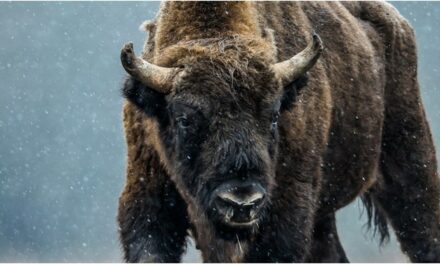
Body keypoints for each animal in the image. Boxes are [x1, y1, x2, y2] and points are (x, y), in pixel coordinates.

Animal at [116, 1, 440, 262]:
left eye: (273, 116)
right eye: (184, 119)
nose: (241, 201)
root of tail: (399, 24)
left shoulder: (286, 210)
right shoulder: (148, 196)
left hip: (411, 161)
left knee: (424, 232)